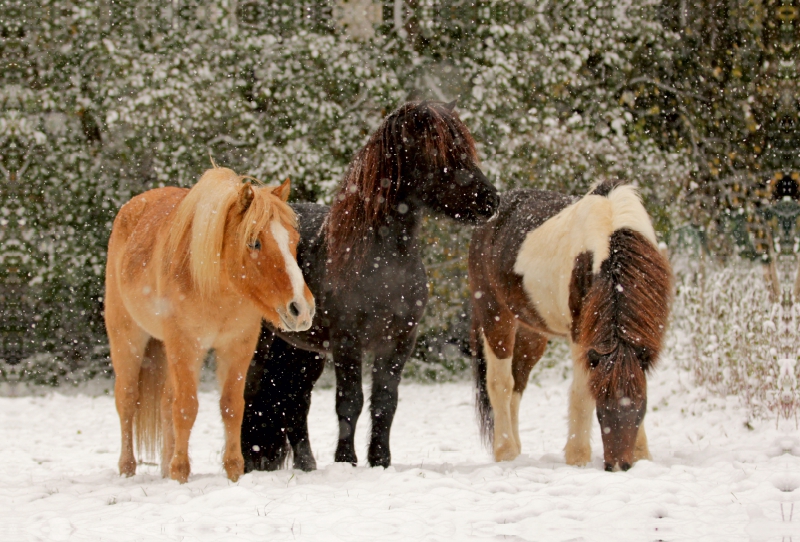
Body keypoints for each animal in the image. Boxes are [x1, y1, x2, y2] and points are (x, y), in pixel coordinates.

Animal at [105, 167, 316, 484]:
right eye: (254, 242)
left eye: (293, 240)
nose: (301, 309)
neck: (216, 288)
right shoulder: (185, 346)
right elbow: (186, 407)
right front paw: (181, 473)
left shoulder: (237, 348)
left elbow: (231, 406)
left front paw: (233, 472)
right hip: (128, 339)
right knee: (128, 400)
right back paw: (128, 469)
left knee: (165, 402)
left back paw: (164, 469)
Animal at [472, 182, 672, 472]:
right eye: (601, 408)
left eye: (640, 408)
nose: (617, 466)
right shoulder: (581, 336)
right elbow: (580, 394)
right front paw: (578, 457)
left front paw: (642, 455)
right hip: (495, 316)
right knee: (501, 384)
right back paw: (506, 452)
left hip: (531, 333)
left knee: (517, 384)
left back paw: (517, 451)